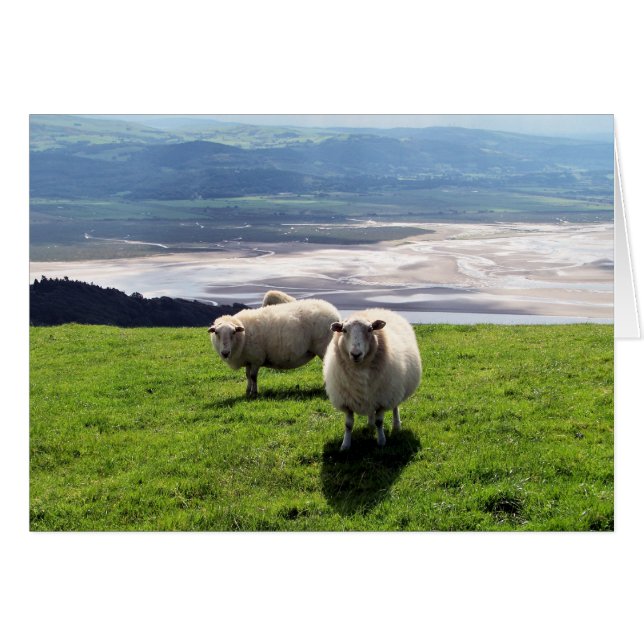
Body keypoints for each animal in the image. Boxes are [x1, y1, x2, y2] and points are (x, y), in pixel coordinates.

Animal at [209, 298, 340, 397]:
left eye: (233, 332)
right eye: (216, 333)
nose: (225, 353)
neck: (243, 336)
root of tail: (334, 312)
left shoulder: (256, 358)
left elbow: (253, 376)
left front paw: (254, 393)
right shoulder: (248, 359)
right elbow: (247, 376)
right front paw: (247, 391)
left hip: (323, 348)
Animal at [322, 308, 422, 451]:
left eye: (370, 329)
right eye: (344, 330)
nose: (356, 354)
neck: (359, 369)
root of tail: (378, 309)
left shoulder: (383, 399)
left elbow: (379, 422)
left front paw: (381, 441)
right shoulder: (346, 401)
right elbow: (348, 425)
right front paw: (345, 445)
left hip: (394, 389)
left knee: (395, 407)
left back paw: (396, 425)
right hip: (371, 395)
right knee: (370, 410)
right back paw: (370, 424)